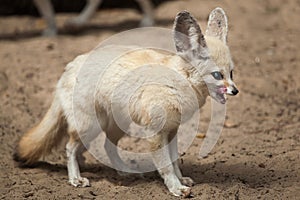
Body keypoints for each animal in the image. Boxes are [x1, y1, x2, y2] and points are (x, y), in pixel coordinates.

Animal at [14, 8, 239, 197]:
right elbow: (166, 166)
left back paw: (123, 171)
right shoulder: (155, 133)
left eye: (231, 73)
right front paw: (175, 188)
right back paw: (76, 179)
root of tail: (70, 66)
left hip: (116, 127)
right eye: (217, 75)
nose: (235, 91)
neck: (177, 81)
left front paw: (181, 180)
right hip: (90, 127)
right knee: (70, 148)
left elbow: (175, 161)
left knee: (106, 147)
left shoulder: (172, 130)